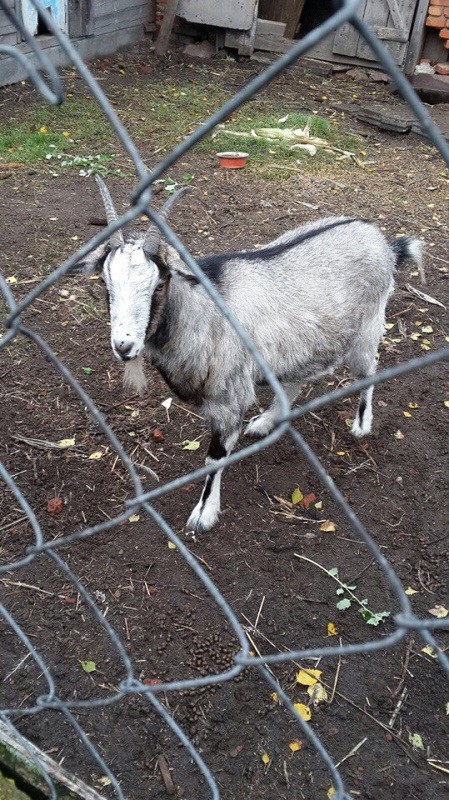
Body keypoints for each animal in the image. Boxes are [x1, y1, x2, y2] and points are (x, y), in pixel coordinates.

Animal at [72, 176, 423, 532]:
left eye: (159, 285)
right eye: (105, 284)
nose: (124, 345)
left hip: (367, 328)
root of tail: (382, 242)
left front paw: (204, 513)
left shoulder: (228, 398)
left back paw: (362, 423)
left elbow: (214, 457)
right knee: (294, 382)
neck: (203, 311)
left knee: (368, 371)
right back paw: (266, 421)